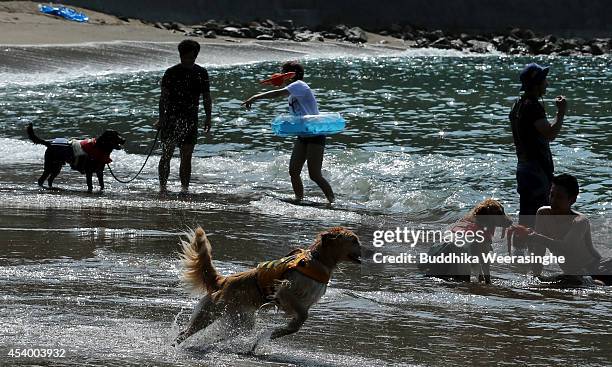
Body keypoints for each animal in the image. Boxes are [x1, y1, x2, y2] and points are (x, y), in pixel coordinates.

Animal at [175, 227, 360, 348]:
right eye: (354, 240)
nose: (364, 250)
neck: (318, 260)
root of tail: (223, 280)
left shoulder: (305, 300)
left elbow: (299, 320)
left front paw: (280, 332)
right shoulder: (286, 290)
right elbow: (301, 316)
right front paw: (280, 331)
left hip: (240, 319)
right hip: (211, 313)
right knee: (184, 334)